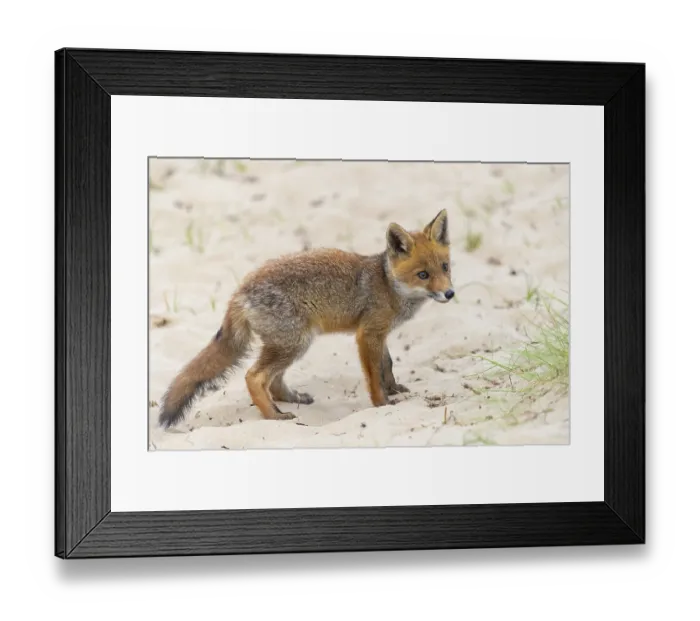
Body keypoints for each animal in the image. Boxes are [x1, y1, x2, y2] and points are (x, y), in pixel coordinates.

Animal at [158, 209, 454, 428]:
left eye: (445, 267)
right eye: (423, 275)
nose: (450, 293)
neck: (388, 285)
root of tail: (240, 289)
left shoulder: (379, 334)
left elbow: (387, 365)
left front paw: (394, 389)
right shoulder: (367, 334)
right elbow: (374, 376)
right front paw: (382, 404)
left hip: (291, 343)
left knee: (274, 381)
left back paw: (289, 400)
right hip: (294, 342)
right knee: (255, 377)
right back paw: (274, 416)